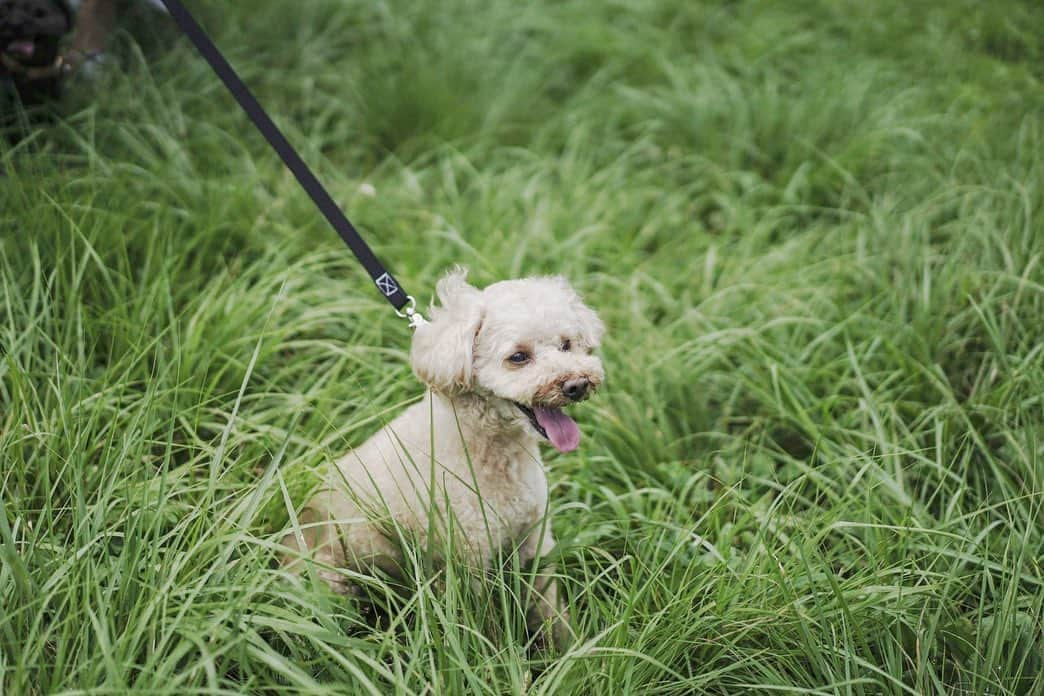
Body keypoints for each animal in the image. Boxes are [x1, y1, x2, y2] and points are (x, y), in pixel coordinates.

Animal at [281, 269, 609, 646]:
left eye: (567, 345)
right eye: (518, 357)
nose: (576, 385)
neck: (491, 450)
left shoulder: (534, 540)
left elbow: (550, 606)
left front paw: (571, 648)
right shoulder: (467, 560)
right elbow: (484, 628)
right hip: (331, 574)